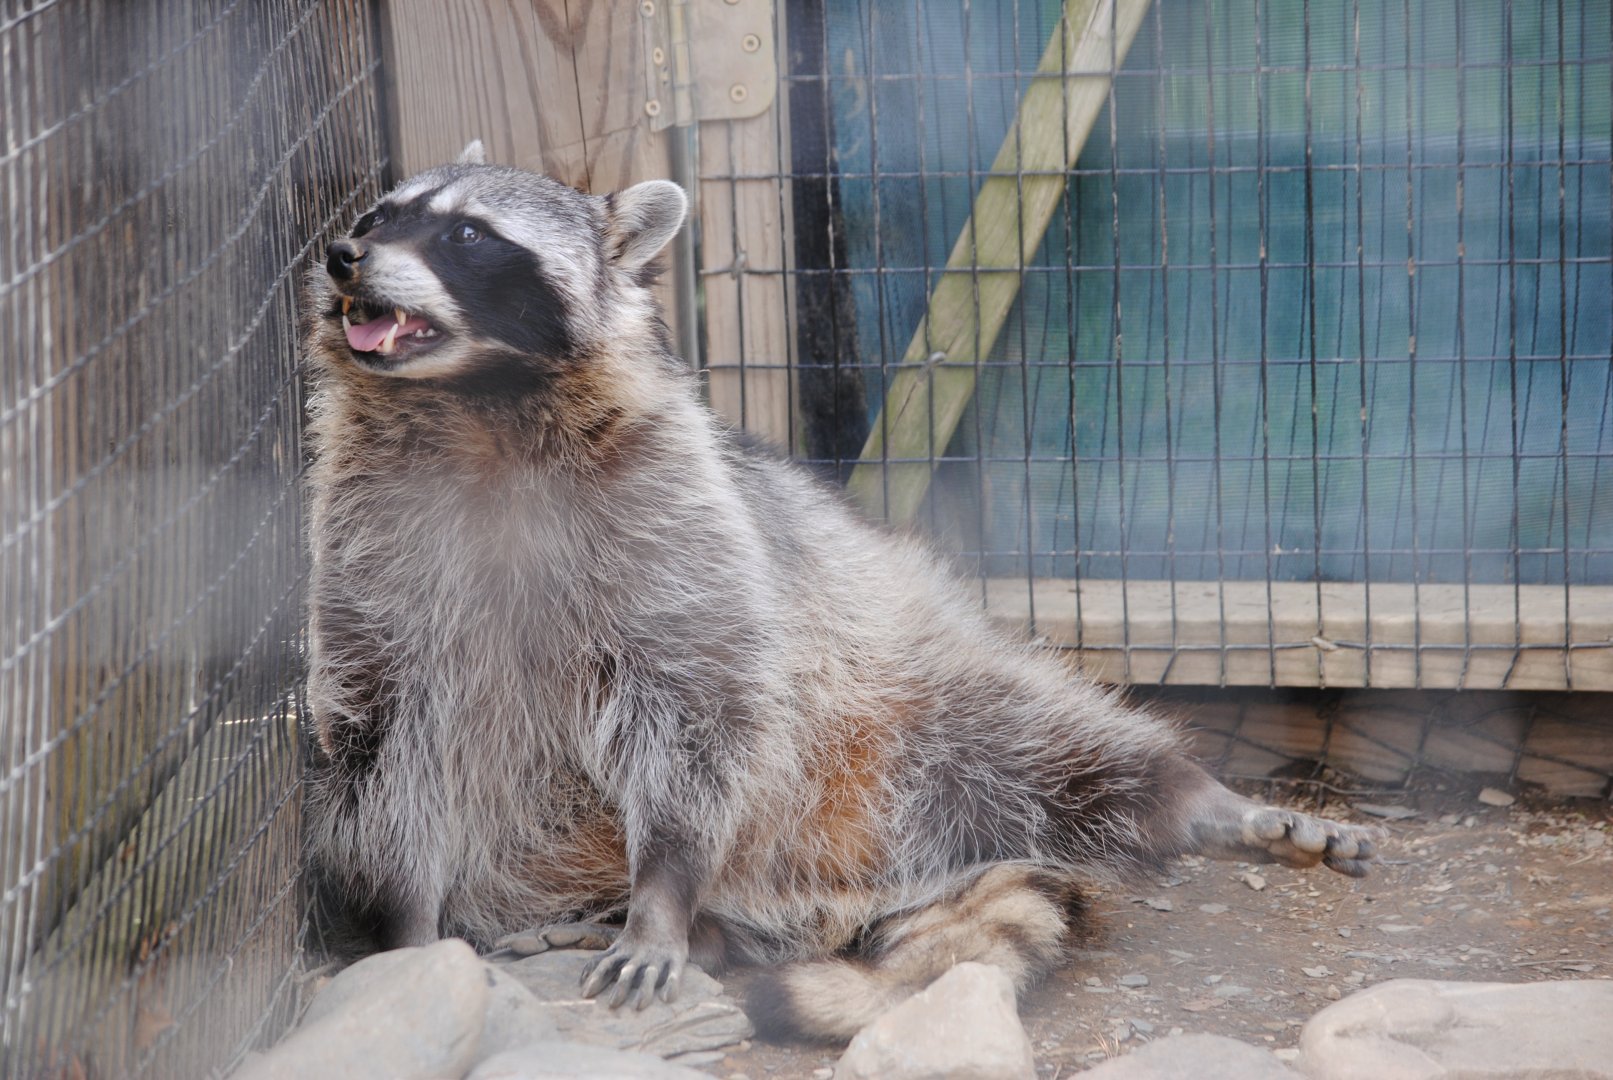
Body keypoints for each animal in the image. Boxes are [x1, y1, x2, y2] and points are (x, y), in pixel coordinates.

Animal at [301, 142, 1383, 1043]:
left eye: (468, 235)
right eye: (382, 212)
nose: (344, 253)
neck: (476, 406)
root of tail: (854, 889)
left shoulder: (675, 516)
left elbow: (696, 705)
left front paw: (662, 894)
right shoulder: (368, 544)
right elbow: (380, 736)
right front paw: (406, 927)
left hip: (904, 691)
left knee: (1044, 740)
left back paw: (1187, 795)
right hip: (533, 843)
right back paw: (618, 924)